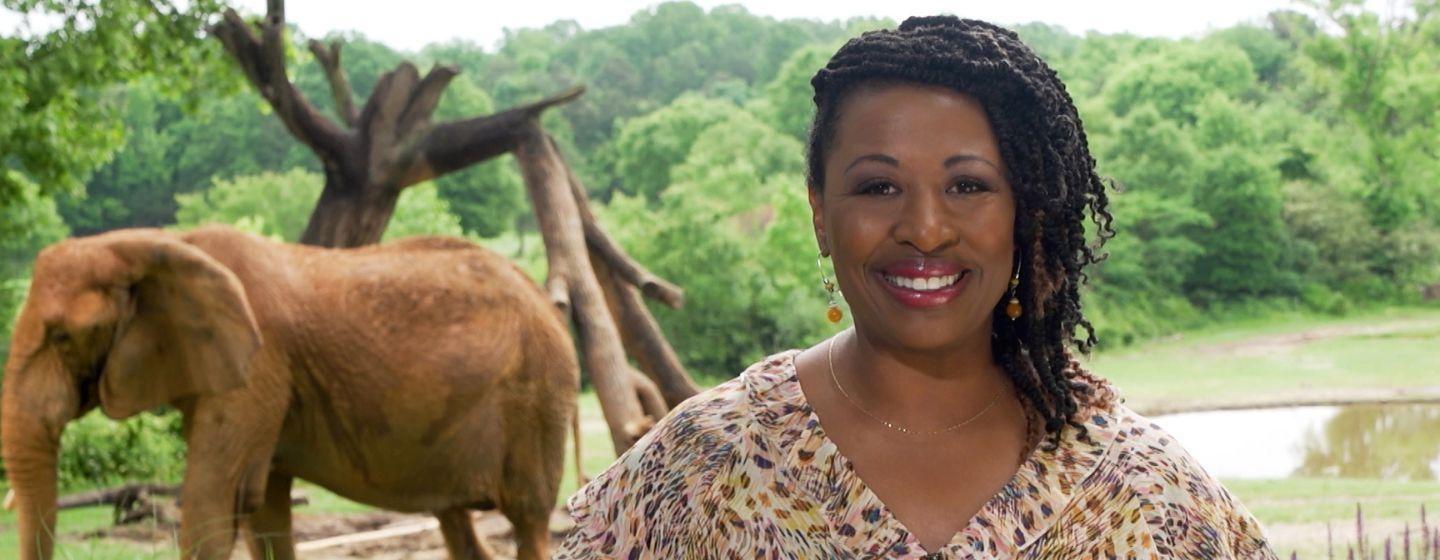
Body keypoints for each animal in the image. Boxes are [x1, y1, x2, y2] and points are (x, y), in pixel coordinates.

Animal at [7, 224, 578, 555]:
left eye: (62, 337)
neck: (155, 244)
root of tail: (545, 298)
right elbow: (263, 510)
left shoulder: (258, 366)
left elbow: (214, 499)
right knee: (455, 519)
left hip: (537, 398)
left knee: (528, 517)